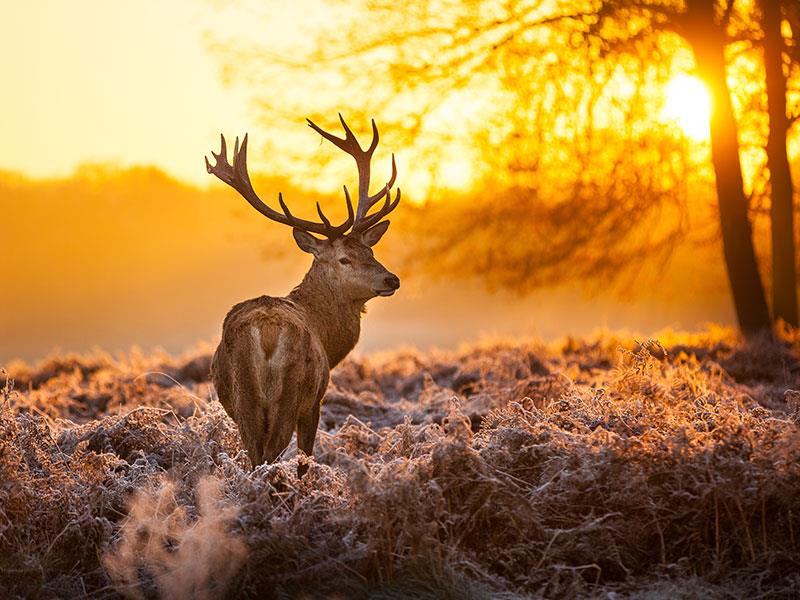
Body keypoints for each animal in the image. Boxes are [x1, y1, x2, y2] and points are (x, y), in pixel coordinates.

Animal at [205, 115, 400, 475]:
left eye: (370, 250)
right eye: (344, 259)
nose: (391, 279)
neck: (328, 337)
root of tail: (267, 331)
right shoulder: (315, 401)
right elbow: (305, 458)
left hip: (243, 400)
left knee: (255, 456)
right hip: (291, 394)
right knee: (270, 455)